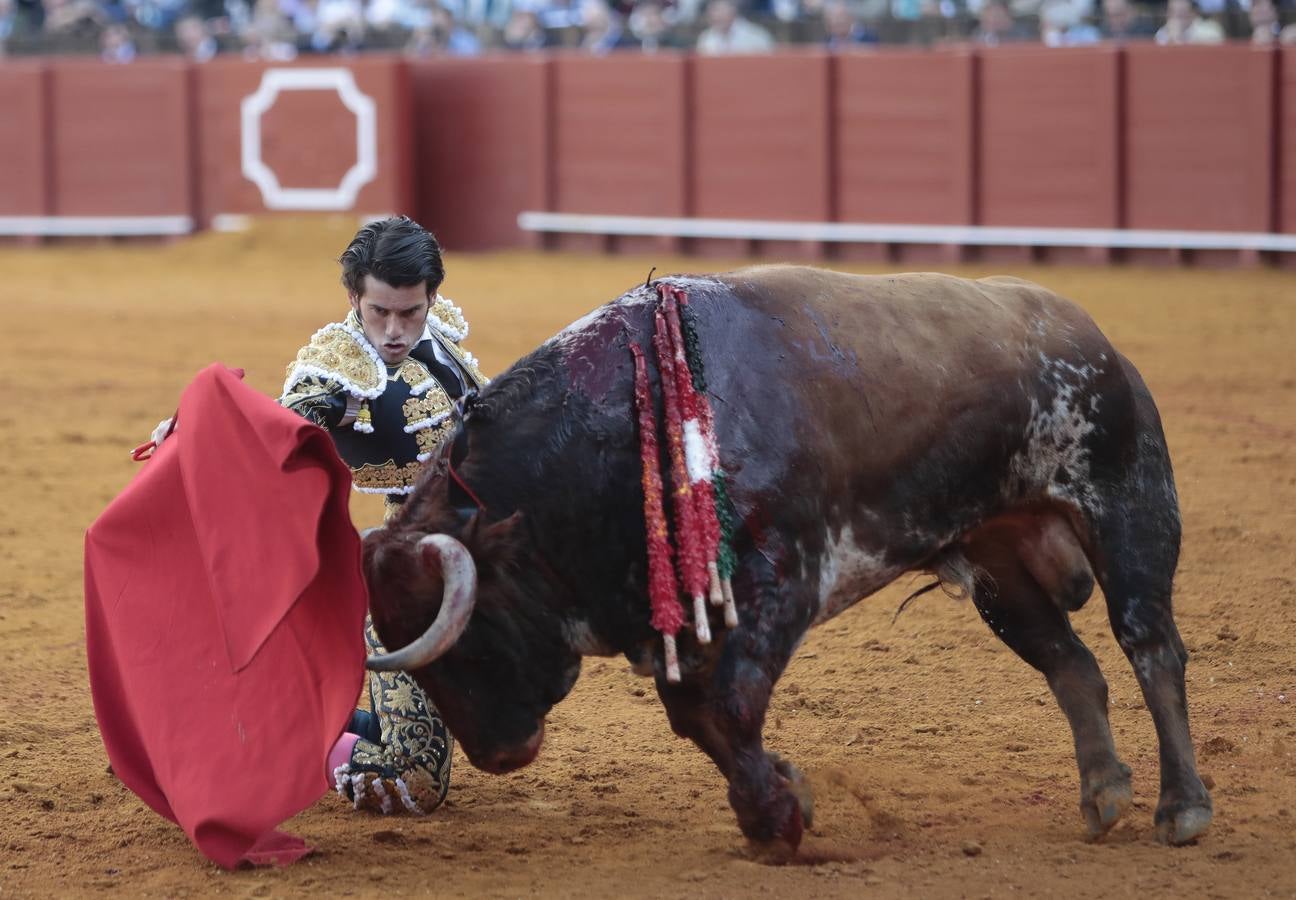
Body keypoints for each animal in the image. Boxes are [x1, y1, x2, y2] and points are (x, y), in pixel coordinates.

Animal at [362, 268, 1213, 850]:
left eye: (470, 635)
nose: (500, 754)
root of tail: (1090, 334)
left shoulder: (782, 585)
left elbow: (728, 706)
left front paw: (777, 816)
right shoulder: (682, 623)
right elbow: (698, 716)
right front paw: (780, 800)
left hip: (1129, 507)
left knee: (1150, 646)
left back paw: (1183, 808)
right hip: (1001, 567)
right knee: (1072, 663)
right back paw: (1104, 794)